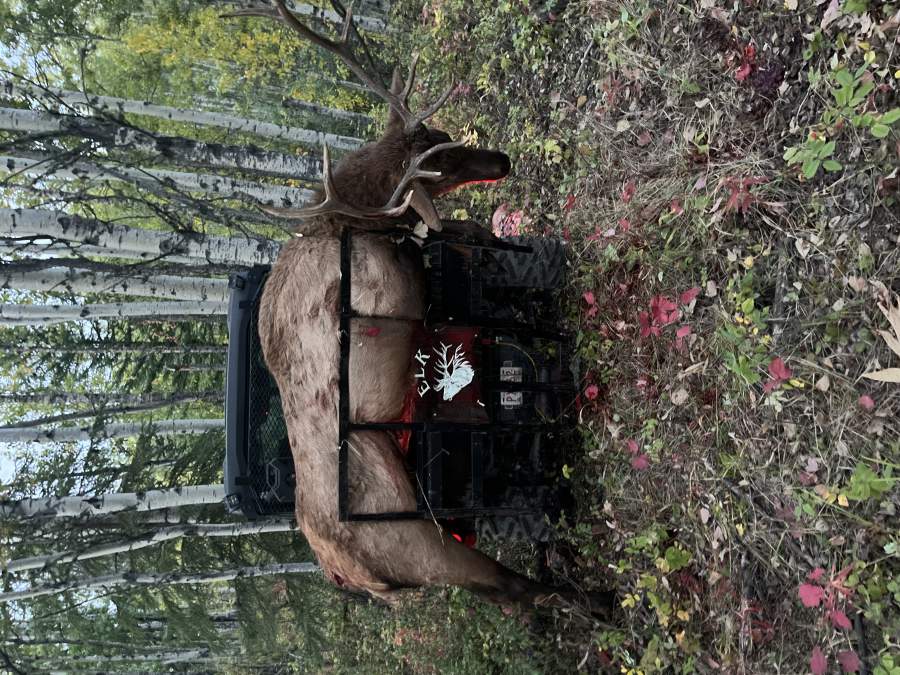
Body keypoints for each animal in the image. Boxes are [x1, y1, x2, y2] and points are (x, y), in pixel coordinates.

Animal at [232, 0, 611, 616]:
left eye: (446, 135)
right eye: (439, 167)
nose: (502, 160)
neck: (352, 223)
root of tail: (348, 577)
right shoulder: (401, 289)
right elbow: (468, 251)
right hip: (419, 538)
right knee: (512, 586)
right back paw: (597, 601)